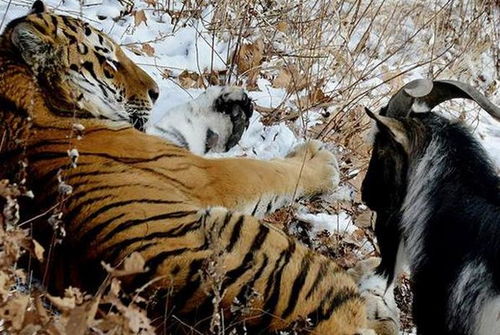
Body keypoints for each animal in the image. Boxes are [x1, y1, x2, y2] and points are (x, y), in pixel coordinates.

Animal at [0, 1, 398, 334]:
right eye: (109, 64)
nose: (156, 91)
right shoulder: (202, 174)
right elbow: (266, 172)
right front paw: (321, 163)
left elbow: (186, 123)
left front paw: (229, 104)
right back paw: (373, 278)